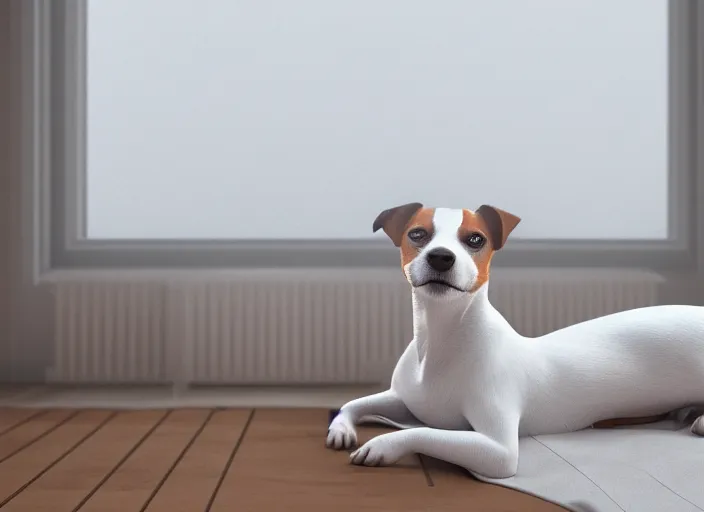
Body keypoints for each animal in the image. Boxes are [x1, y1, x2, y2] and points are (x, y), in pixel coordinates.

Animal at [324, 202, 704, 478]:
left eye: (475, 239)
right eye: (417, 234)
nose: (441, 257)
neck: (439, 338)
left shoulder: (497, 450)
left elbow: (420, 432)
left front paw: (382, 446)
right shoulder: (404, 399)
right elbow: (353, 403)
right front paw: (341, 429)